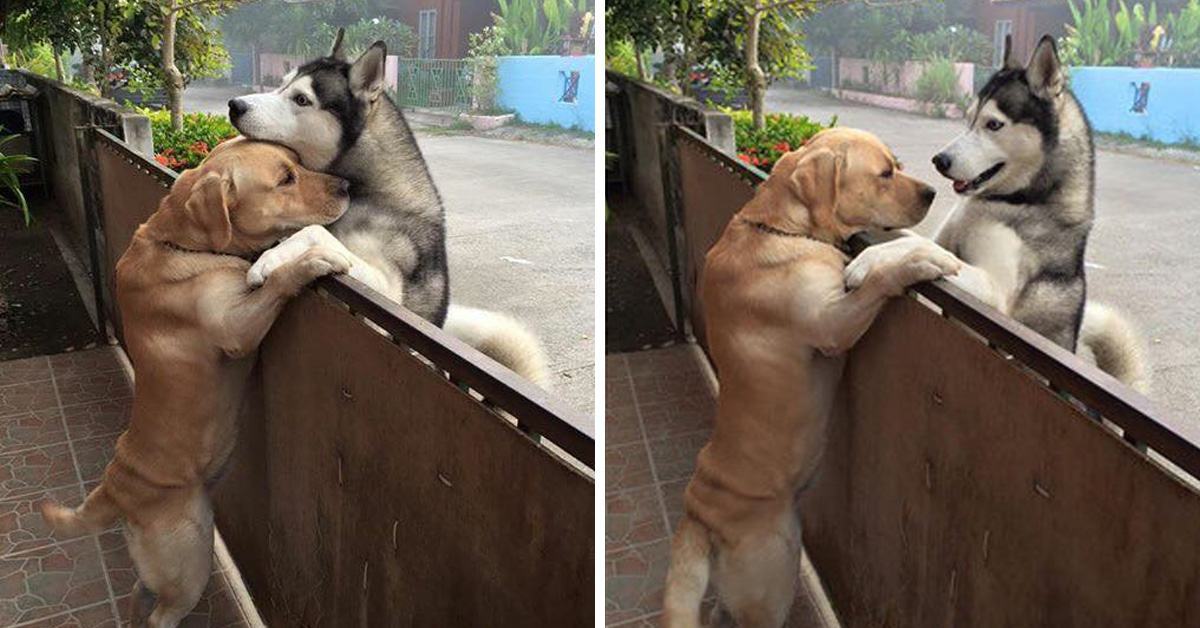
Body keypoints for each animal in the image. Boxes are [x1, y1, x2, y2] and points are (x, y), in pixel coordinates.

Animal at [226, 31, 549, 386]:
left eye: (301, 100)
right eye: (281, 84)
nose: (234, 105)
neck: (371, 192)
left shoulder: (386, 291)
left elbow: (315, 231)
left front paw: (267, 261)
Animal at [849, 35, 1147, 393]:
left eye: (993, 124)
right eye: (968, 119)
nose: (939, 160)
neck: (1014, 201)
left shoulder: (995, 294)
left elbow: (920, 246)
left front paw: (868, 261)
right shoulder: (945, 238)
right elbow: (910, 237)